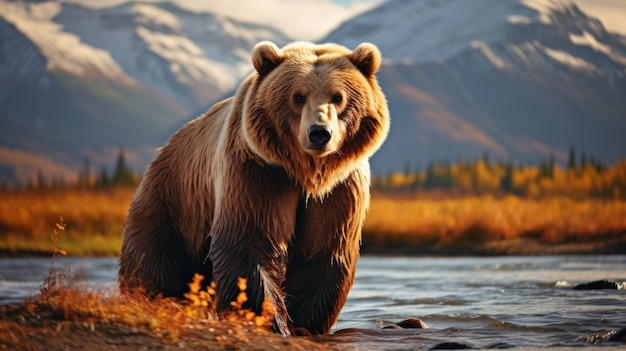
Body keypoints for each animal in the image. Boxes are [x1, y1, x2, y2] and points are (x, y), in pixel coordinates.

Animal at [117, 40, 388, 336]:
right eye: (298, 96)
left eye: (338, 97)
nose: (319, 132)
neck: (306, 173)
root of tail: (162, 151)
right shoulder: (257, 172)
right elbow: (249, 242)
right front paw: (274, 323)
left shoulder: (339, 190)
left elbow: (322, 254)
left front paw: (303, 325)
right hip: (173, 203)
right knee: (153, 266)